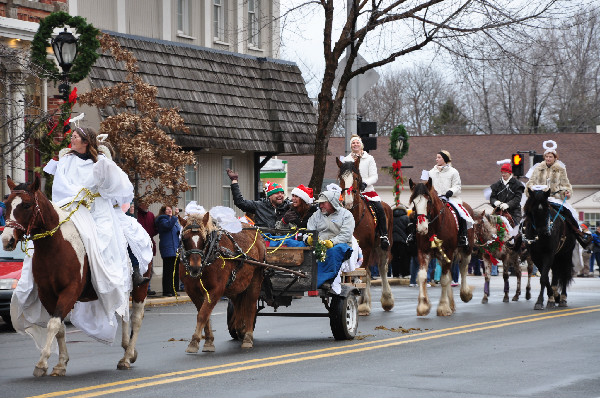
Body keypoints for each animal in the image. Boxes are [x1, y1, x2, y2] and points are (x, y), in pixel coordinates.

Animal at [0, 176, 149, 376]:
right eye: (7, 204)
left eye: (26, 205)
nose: (7, 240)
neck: (54, 247)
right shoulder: (47, 294)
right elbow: (59, 327)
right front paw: (61, 363)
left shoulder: (70, 290)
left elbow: (53, 324)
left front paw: (42, 363)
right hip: (123, 289)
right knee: (124, 314)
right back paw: (128, 352)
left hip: (141, 288)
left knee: (135, 318)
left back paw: (126, 357)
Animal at [176, 211, 264, 352]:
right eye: (184, 239)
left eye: (204, 239)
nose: (195, 267)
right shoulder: (192, 291)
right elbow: (204, 314)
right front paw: (208, 341)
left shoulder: (216, 289)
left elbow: (203, 314)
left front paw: (194, 342)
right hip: (236, 286)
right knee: (239, 306)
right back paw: (240, 328)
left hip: (255, 279)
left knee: (250, 306)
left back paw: (248, 338)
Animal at [336, 157, 396, 316]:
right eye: (340, 178)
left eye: (356, 178)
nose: (347, 201)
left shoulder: (367, 248)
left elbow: (363, 274)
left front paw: (362, 304)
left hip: (382, 247)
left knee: (382, 268)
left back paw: (387, 300)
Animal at [408, 179, 474, 316]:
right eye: (414, 202)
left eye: (428, 201)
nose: (422, 228)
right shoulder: (423, 252)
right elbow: (422, 276)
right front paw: (423, 306)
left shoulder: (448, 252)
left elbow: (444, 279)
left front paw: (443, 307)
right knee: (449, 274)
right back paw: (451, 304)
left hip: (466, 251)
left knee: (463, 268)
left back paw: (465, 294)